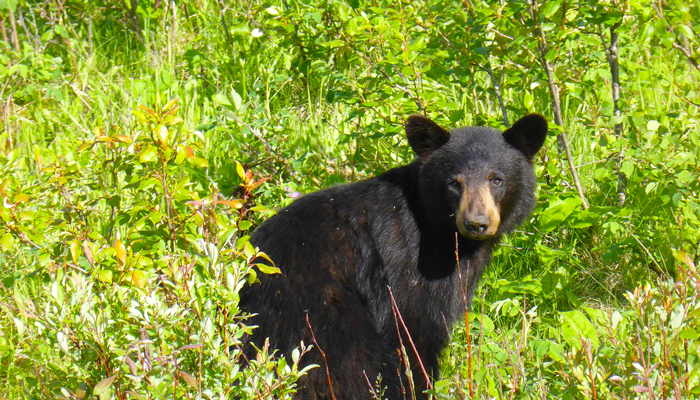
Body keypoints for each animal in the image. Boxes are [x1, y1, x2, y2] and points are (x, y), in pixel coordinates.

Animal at [241, 114, 548, 398]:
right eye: (454, 182)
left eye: (497, 179)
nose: (476, 223)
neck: (437, 230)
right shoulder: (407, 267)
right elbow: (414, 334)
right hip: (318, 317)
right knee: (356, 365)